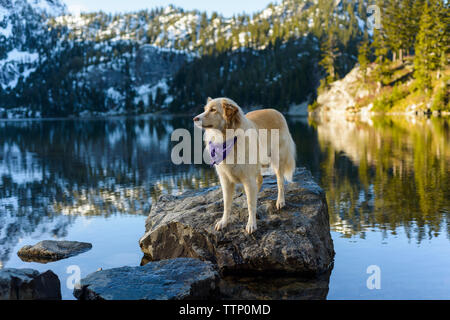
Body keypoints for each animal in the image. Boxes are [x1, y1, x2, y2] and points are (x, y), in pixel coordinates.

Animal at [192, 96, 296, 234]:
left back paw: (280, 201)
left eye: (213, 110)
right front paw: (224, 222)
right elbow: (227, 204)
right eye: (205, 109)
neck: (228, 138)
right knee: (260, 180)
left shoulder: (248, 178)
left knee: (280, 181)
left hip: (278, 160)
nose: (194, 119)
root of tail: (276, 111)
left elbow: (251, 204)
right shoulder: (225, 180)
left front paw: (251, 224)